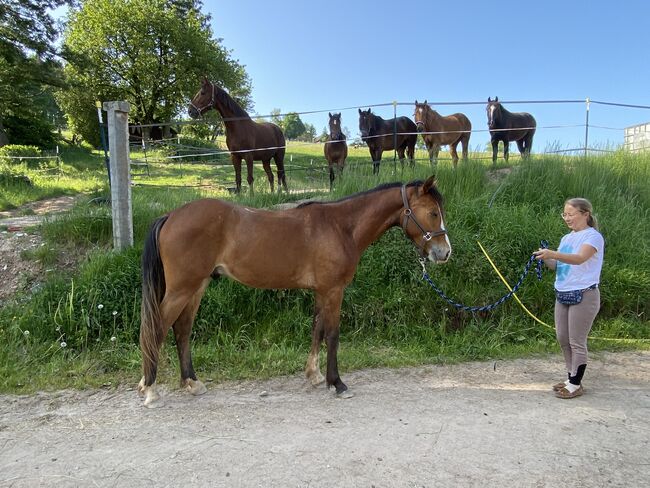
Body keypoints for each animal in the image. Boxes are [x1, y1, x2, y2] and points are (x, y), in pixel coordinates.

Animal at [137, 177, 450, 406]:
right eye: (433, 213)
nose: (444, 252)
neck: (341, 227)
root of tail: (171, 215)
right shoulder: (333, 290)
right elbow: (333, 334)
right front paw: (337, 383)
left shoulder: (321, 291)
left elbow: (317, 330)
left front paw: (314, 375)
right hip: (182, 288)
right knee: (157, 328)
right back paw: (150, 389)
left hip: (197, 286)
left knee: (182, 330)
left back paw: (191, 382)